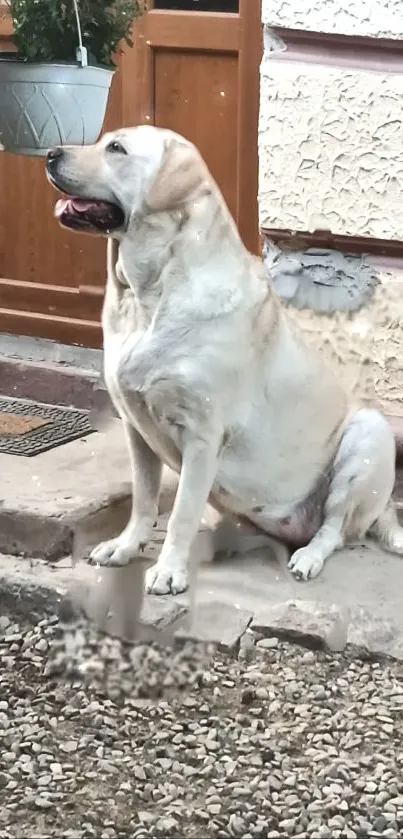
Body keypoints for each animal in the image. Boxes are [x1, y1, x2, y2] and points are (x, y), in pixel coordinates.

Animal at [45, 124, 403, 596]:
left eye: (116, 149)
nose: (50, 153)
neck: (146, 295)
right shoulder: (136, 429)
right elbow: (144, 499)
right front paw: (126, 546)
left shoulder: (202, 434)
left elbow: (180, 511)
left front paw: (169, 570)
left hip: (367, 438)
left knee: (334, 529)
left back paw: (307, 556)